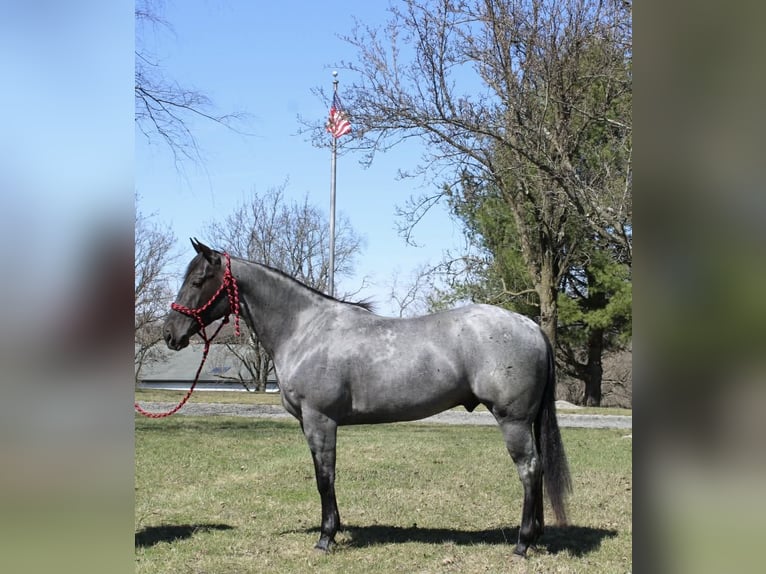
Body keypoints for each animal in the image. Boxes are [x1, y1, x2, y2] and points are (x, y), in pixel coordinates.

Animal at [163, 239, 572, 558]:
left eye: (198, 281)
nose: (170, 333)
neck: (304, 328)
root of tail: (531, 326)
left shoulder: (320, 421)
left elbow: (324, 477)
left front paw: (326, 537)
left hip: (512, 420)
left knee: (529, 469)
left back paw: (522, 544)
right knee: (537, 470)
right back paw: (535, 536)